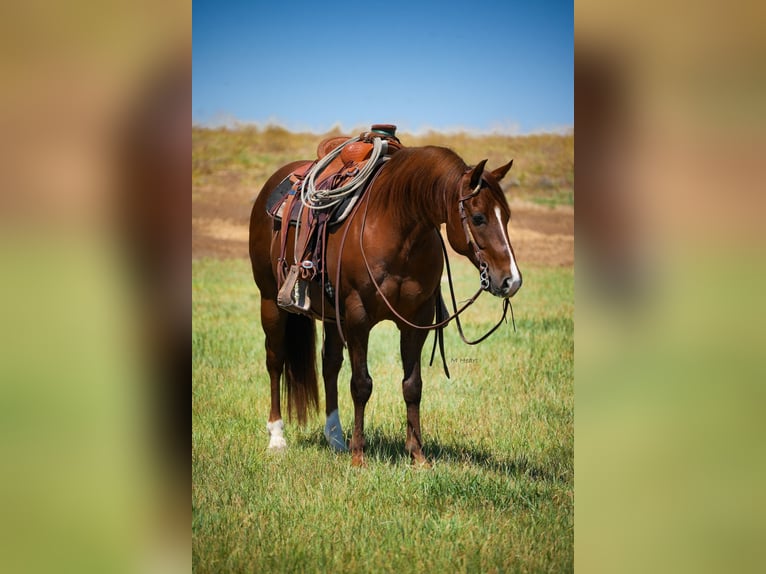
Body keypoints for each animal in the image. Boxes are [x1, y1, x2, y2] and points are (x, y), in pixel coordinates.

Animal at [249, 144, 522, 466]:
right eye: (478, 217)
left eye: (507, 217)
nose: (511, 280)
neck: (396, 228)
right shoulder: (357, 318)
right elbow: (361, 384)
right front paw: (358, 456)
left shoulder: (417, 320)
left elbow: (412, 385)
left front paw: (417, 456)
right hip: (271, 301)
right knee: (275, 360)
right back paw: (277, 437)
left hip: (331, 315)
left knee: (330, 364)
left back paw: (336, 438)